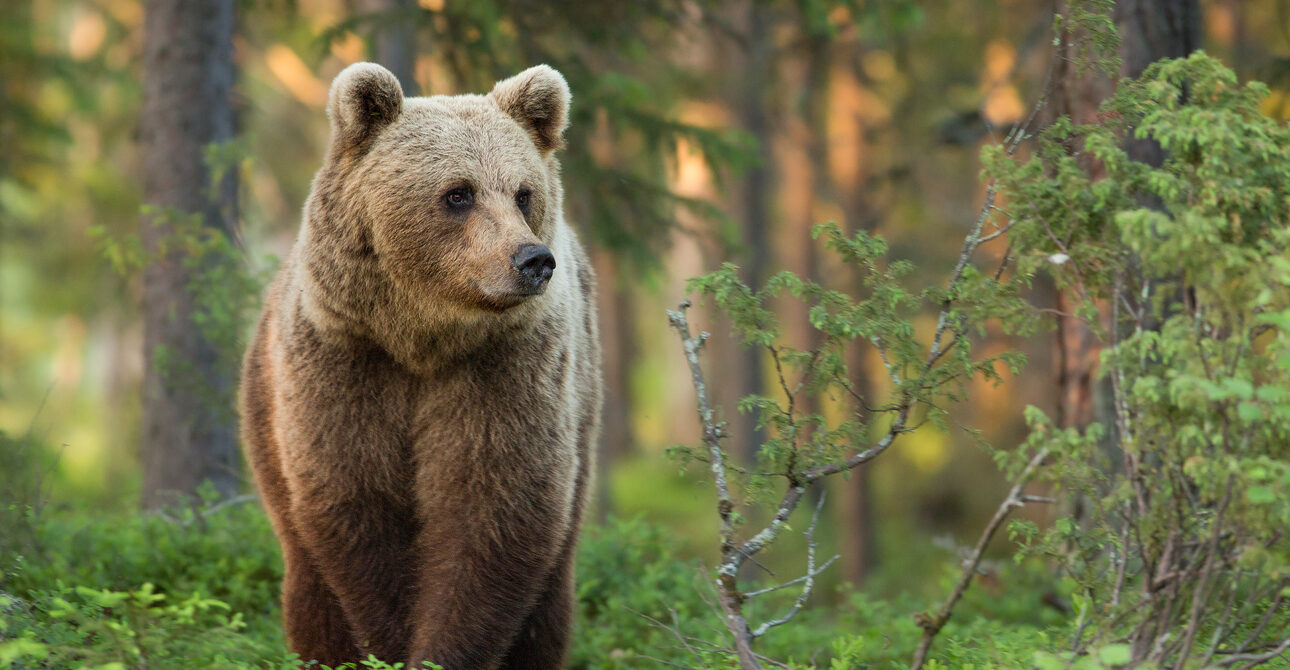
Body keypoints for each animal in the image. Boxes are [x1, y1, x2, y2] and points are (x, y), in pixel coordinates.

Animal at [239, 62, 601, 669]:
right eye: (458, 193)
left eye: (523, 193)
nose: (532, 260)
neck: (421, 340)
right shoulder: (345, 361)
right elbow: (356, 502)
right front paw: (386, 643)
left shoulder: (505, 370)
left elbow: (491, 510)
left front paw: (441, 650)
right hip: (265, 424)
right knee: (310, 588)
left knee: (548, 602)